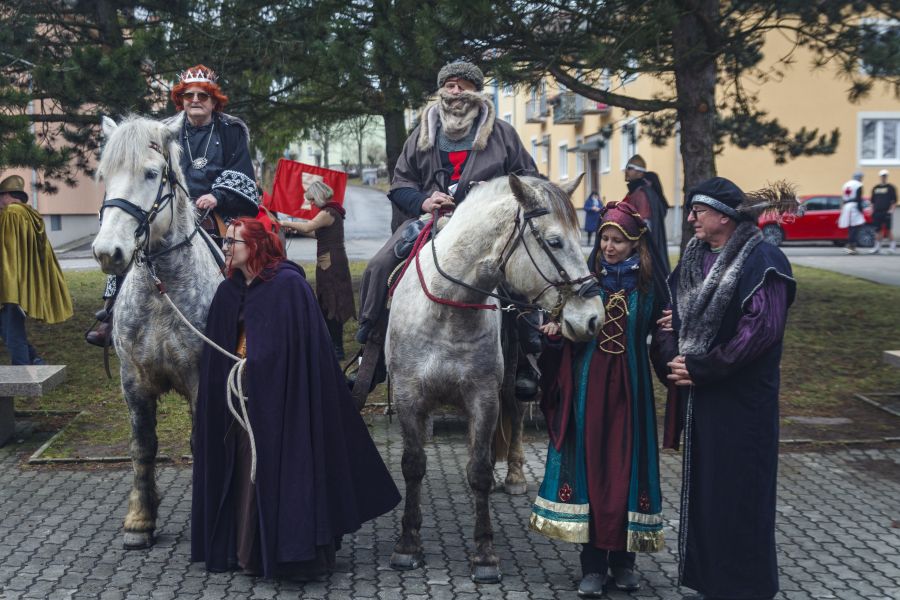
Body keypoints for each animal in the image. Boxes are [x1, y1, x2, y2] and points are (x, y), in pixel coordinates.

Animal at [92, 115, 223, 549]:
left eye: (151, 173)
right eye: (104, 175)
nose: (107, 251)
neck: (161, 288)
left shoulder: (201, 377)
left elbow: (202, 441)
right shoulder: (133, 380)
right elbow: (143, 446)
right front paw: (139, 521)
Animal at [386, 173, 605, 583]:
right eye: (555, 241)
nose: (593, 318)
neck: (447, 309)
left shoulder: (483, 398)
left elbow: (481, 471)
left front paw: (485, 554)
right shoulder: (409, 396)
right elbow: (413, 465)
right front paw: (407, 545)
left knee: (516, 416)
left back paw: (516, 475)